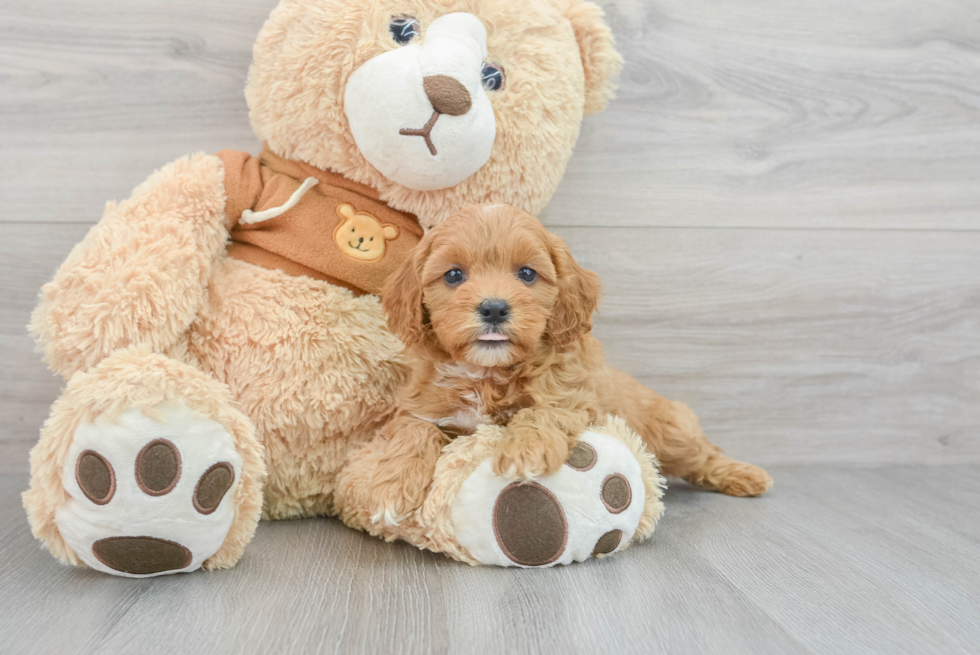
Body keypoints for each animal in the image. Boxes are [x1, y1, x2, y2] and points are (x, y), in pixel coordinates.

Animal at [364, 205, 768, 524]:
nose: (494, 308)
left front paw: (524, 451)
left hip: (672, 433)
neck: (489, 373)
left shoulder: (573, 397)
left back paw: (746, 475)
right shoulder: (422, 407)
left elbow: (541, 411)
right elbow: (413, 433)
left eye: (527, 274)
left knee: (705, 454)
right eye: (453, 275)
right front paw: (389, 489)